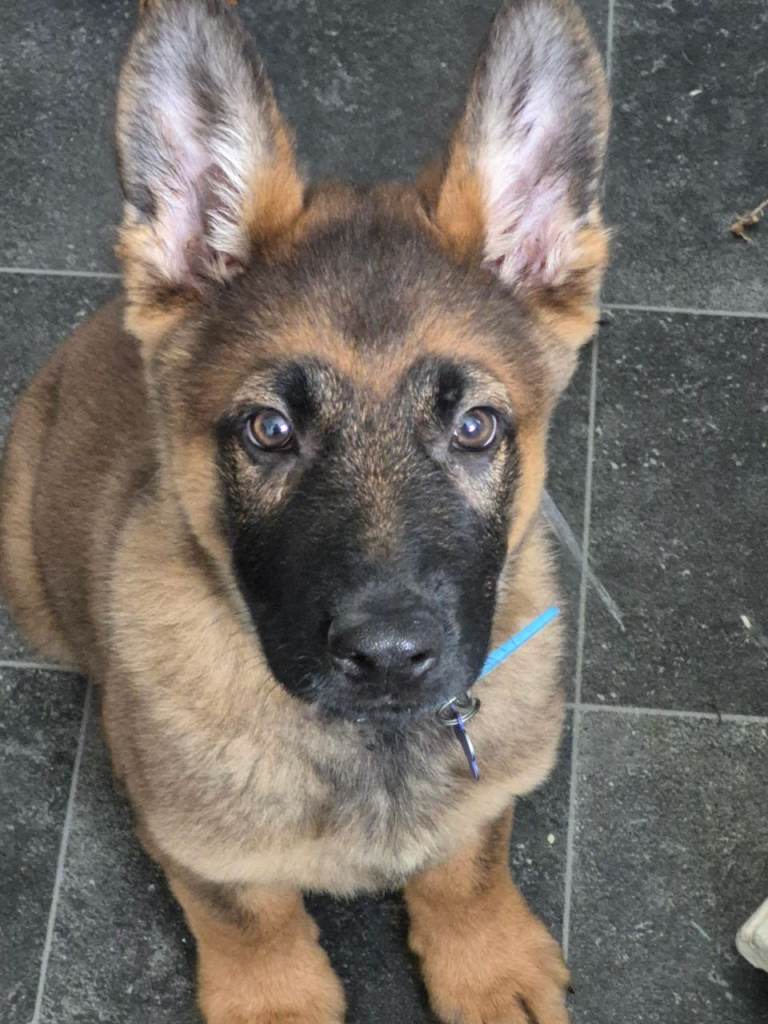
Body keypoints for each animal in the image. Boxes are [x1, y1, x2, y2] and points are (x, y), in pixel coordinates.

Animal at [0, 1, 608, 1020]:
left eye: (476, 426)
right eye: (270, 429)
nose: (390, 657)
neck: (369, 743)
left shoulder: (487, 779)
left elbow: (469, 857)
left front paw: (484, 959)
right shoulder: (196, 842)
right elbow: (249, 914)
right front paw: (276, 996)